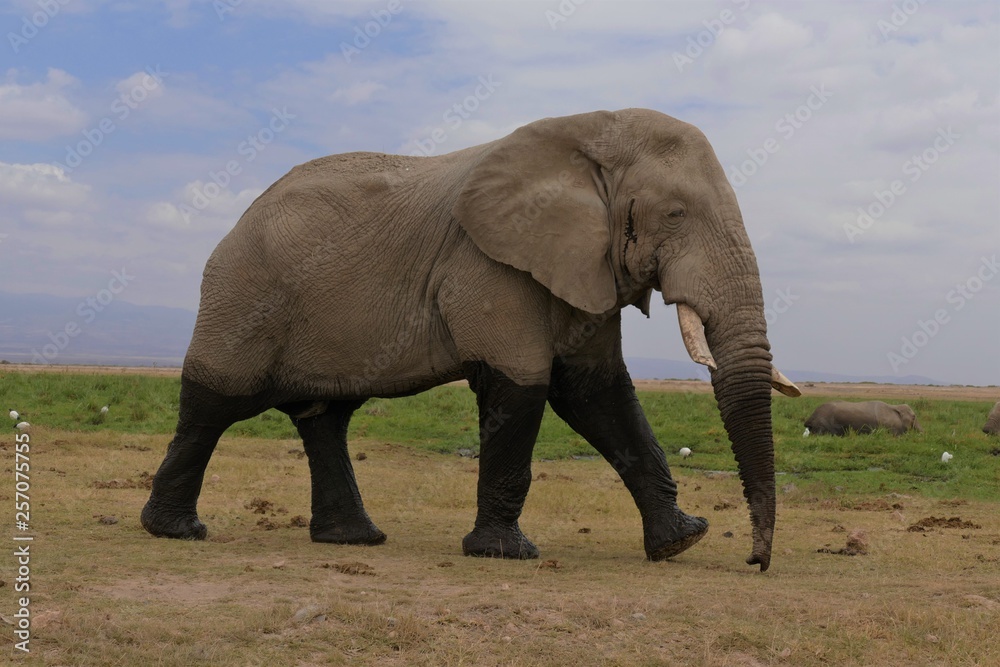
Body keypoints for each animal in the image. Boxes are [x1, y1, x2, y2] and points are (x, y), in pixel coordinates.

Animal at [139, 109, 796, 576]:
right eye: (677, 213)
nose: (756, 562)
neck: (587, 137)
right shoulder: (488, 265)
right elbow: (524, 386)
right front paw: (506, 554)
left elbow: (598, 394)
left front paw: (683, 542)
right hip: (242, 295)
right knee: (214, 403)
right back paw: (175, 532)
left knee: (325, 417)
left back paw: (355, 540)